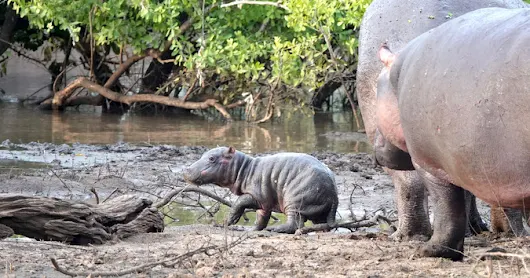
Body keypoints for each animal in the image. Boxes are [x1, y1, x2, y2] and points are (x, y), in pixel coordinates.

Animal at [184, 147, 336, 233]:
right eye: (204, 155)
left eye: (211, 158)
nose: (186, 169)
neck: (244, 168)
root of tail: (334, 194)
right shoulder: (264, 203)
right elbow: (261, 218)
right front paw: (251, 229)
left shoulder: (257, 195)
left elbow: (239, 202)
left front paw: (228, 221)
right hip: (317, 210)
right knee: (322, 224)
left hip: (295, 200)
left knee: (295, 223)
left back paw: (275, 229)